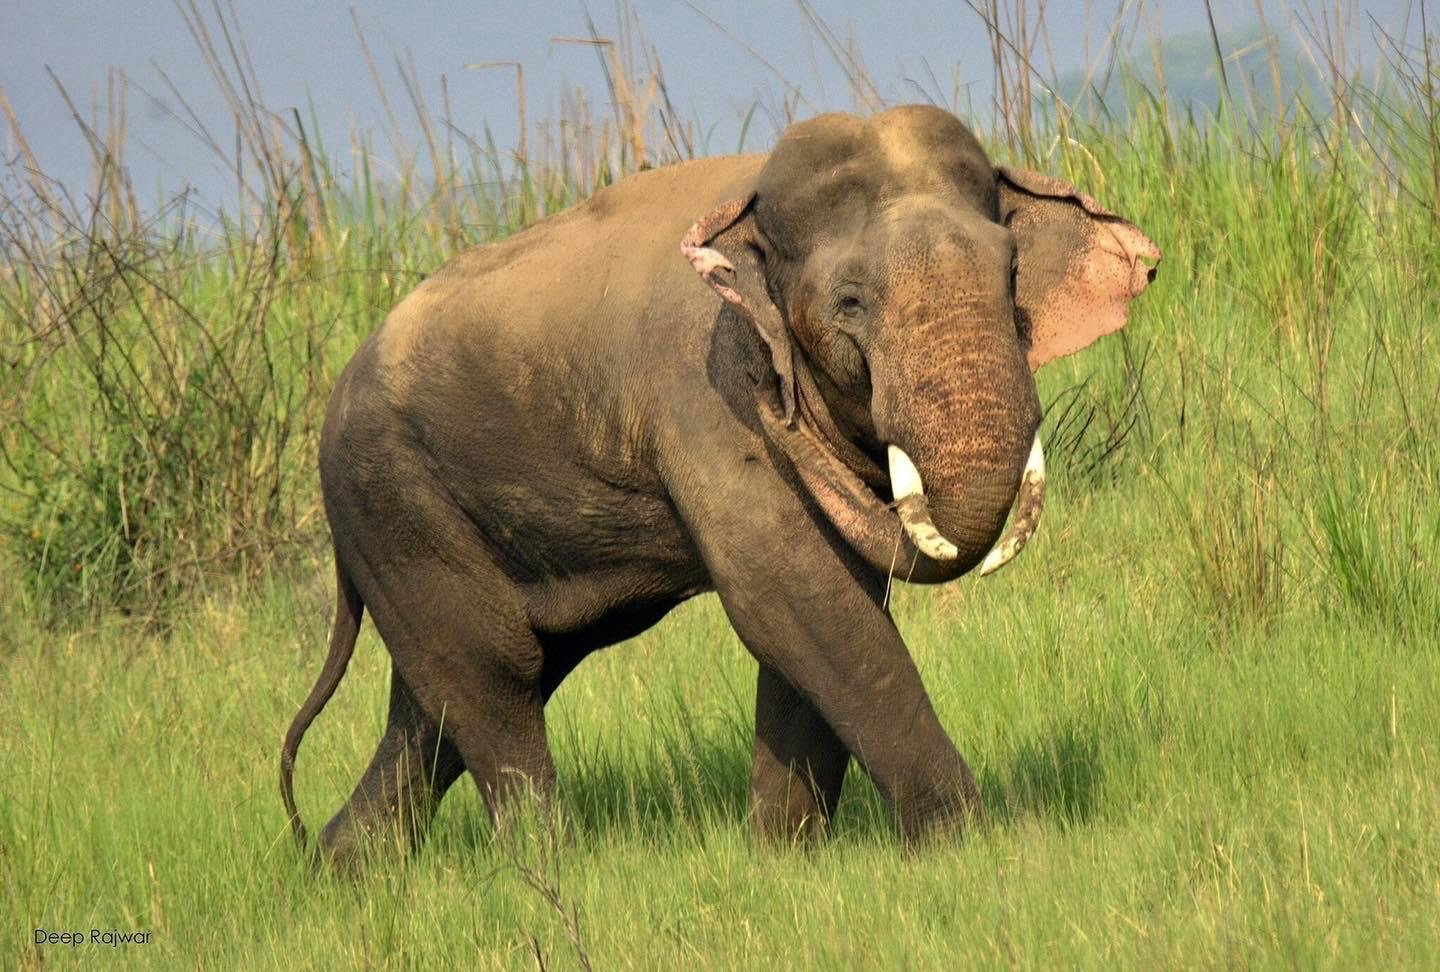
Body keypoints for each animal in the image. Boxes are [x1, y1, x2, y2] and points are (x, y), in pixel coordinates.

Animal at [279, 104, 1160, 865]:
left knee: (442, 695)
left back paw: (342, 869)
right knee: (494, 669)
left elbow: (825, 605)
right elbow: (787, 593)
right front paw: (965, 850)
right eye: (850, 301)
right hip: (391, 499)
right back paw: (548, 870)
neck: (747, 211)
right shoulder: (706, 398)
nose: (785, 415)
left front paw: (780, 859)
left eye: (1011, 273)